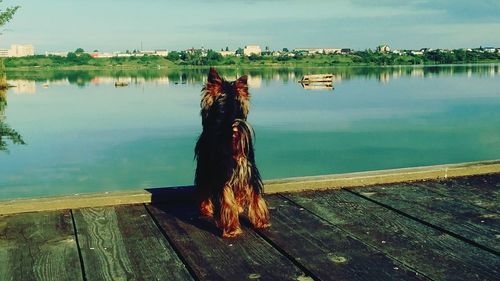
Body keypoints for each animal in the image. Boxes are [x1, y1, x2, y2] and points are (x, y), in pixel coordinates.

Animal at [194, 68, 270, 236]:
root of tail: (232, 130)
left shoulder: (205, 165)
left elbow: (204, 190)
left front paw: (205, 209)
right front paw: (240, 207)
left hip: (220, 172)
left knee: (226, 201)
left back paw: (231, 230)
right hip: (249, 171)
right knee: (256, 196)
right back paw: (261, 222)